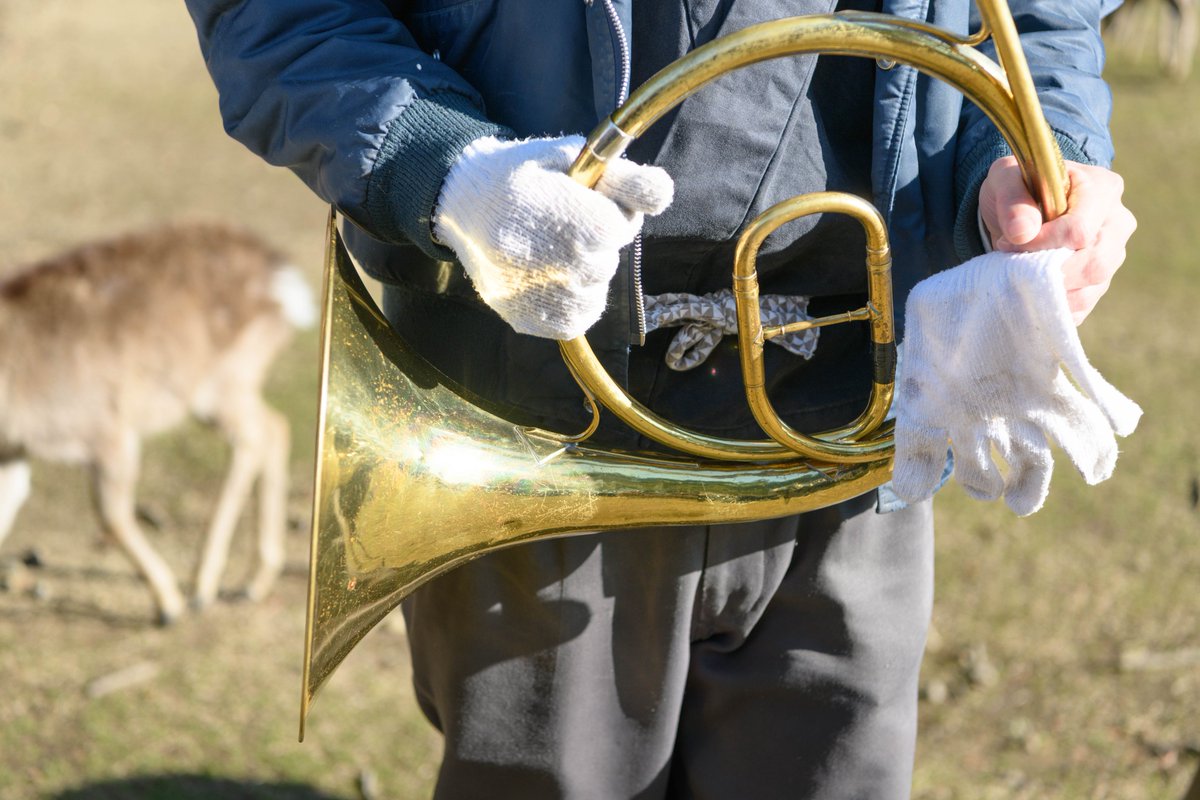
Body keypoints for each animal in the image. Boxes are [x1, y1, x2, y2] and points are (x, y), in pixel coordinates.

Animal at [0, 221, 316, 624]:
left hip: (222, 381)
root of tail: (283, 281)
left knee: (257, 434)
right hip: (228, 385)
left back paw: (203, 588)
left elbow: (112, 516)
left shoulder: (108, 431)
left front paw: (168, 606)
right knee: (276, 426)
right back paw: (251, 583)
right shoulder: (13, 453)